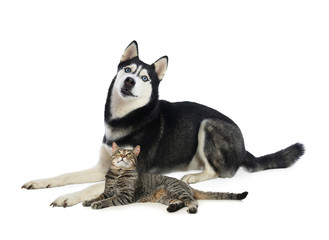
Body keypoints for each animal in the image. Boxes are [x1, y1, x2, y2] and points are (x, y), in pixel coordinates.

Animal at [22, 40, 302, 206]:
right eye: (127, 70)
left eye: (145, 77)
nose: (130, 81)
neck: (128, 117)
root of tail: (244, 147)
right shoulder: (103, 165)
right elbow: (66, 174)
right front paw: (42, 182)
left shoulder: (134, 171)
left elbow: (92, 186)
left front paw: (67, 197)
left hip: (209, 125)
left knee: (221, 172)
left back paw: (193, 177)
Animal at [82, 142, 246, 214]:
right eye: (118, 152)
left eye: (129, 154)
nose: (122, 156)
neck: (119, 173)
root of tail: (187, 185)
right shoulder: (107, 191)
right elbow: (98, 196)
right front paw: (89, 201)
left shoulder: (125, 195)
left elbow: (108, 200)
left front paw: (97, 204)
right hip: (166, 197)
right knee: (181, 202)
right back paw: (173, 208)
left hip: (176, 190)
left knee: (193, 201)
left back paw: (192, 208)